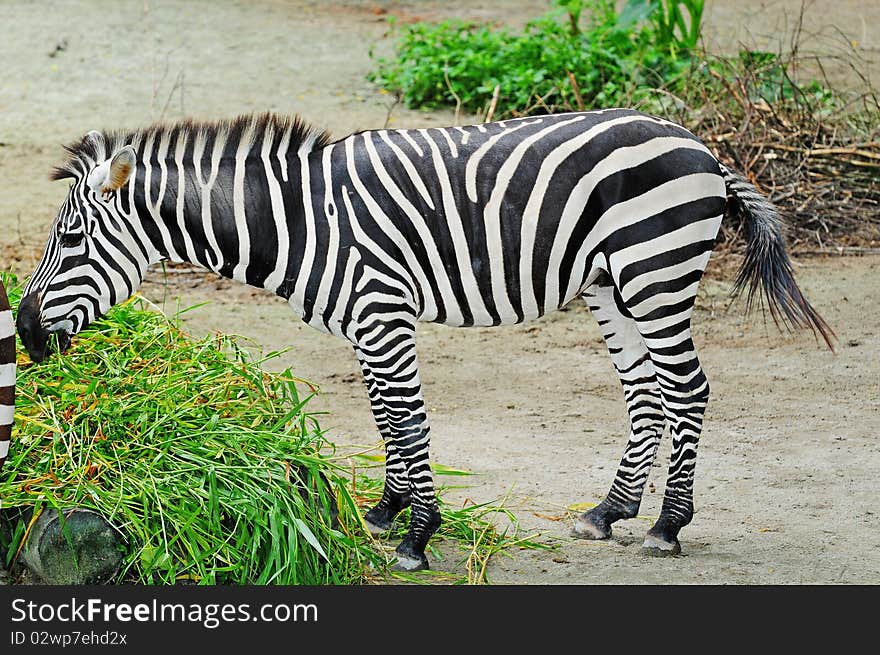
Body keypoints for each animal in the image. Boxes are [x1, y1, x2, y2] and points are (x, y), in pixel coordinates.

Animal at [15, 110, 832, 572]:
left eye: (73, 238)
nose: (21, 331)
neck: (301, 220)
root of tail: (702, 146)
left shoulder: (382, 312)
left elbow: (407, 419)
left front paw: (418, 534)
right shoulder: (366, 322)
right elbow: (384, 416)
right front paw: (385, 511)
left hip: (654, 270)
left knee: (687, 389)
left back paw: (667, 524)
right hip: (610, 283)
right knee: (645, 391)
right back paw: (609, 511)